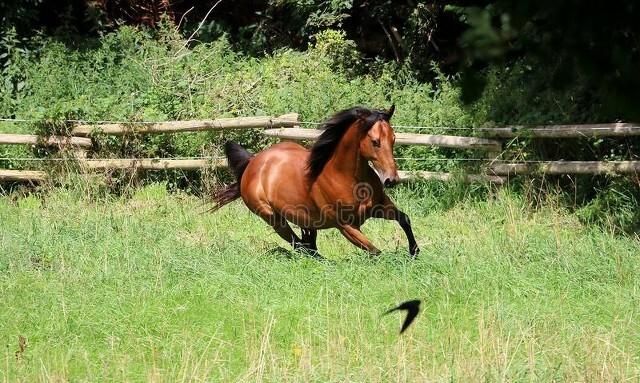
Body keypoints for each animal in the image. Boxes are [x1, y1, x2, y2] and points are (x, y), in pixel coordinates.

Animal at [211, 106, 420, 258]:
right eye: (375, 141)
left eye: (393, 139)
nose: (391, 180)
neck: (347, 178)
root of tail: (253, 162)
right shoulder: (346, 226)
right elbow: (375, 251)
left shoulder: (380, 207)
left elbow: (405, 219)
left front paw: (414, 252)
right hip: (273, 218)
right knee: (298, 244)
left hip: (303, 217)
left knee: (306, 241)